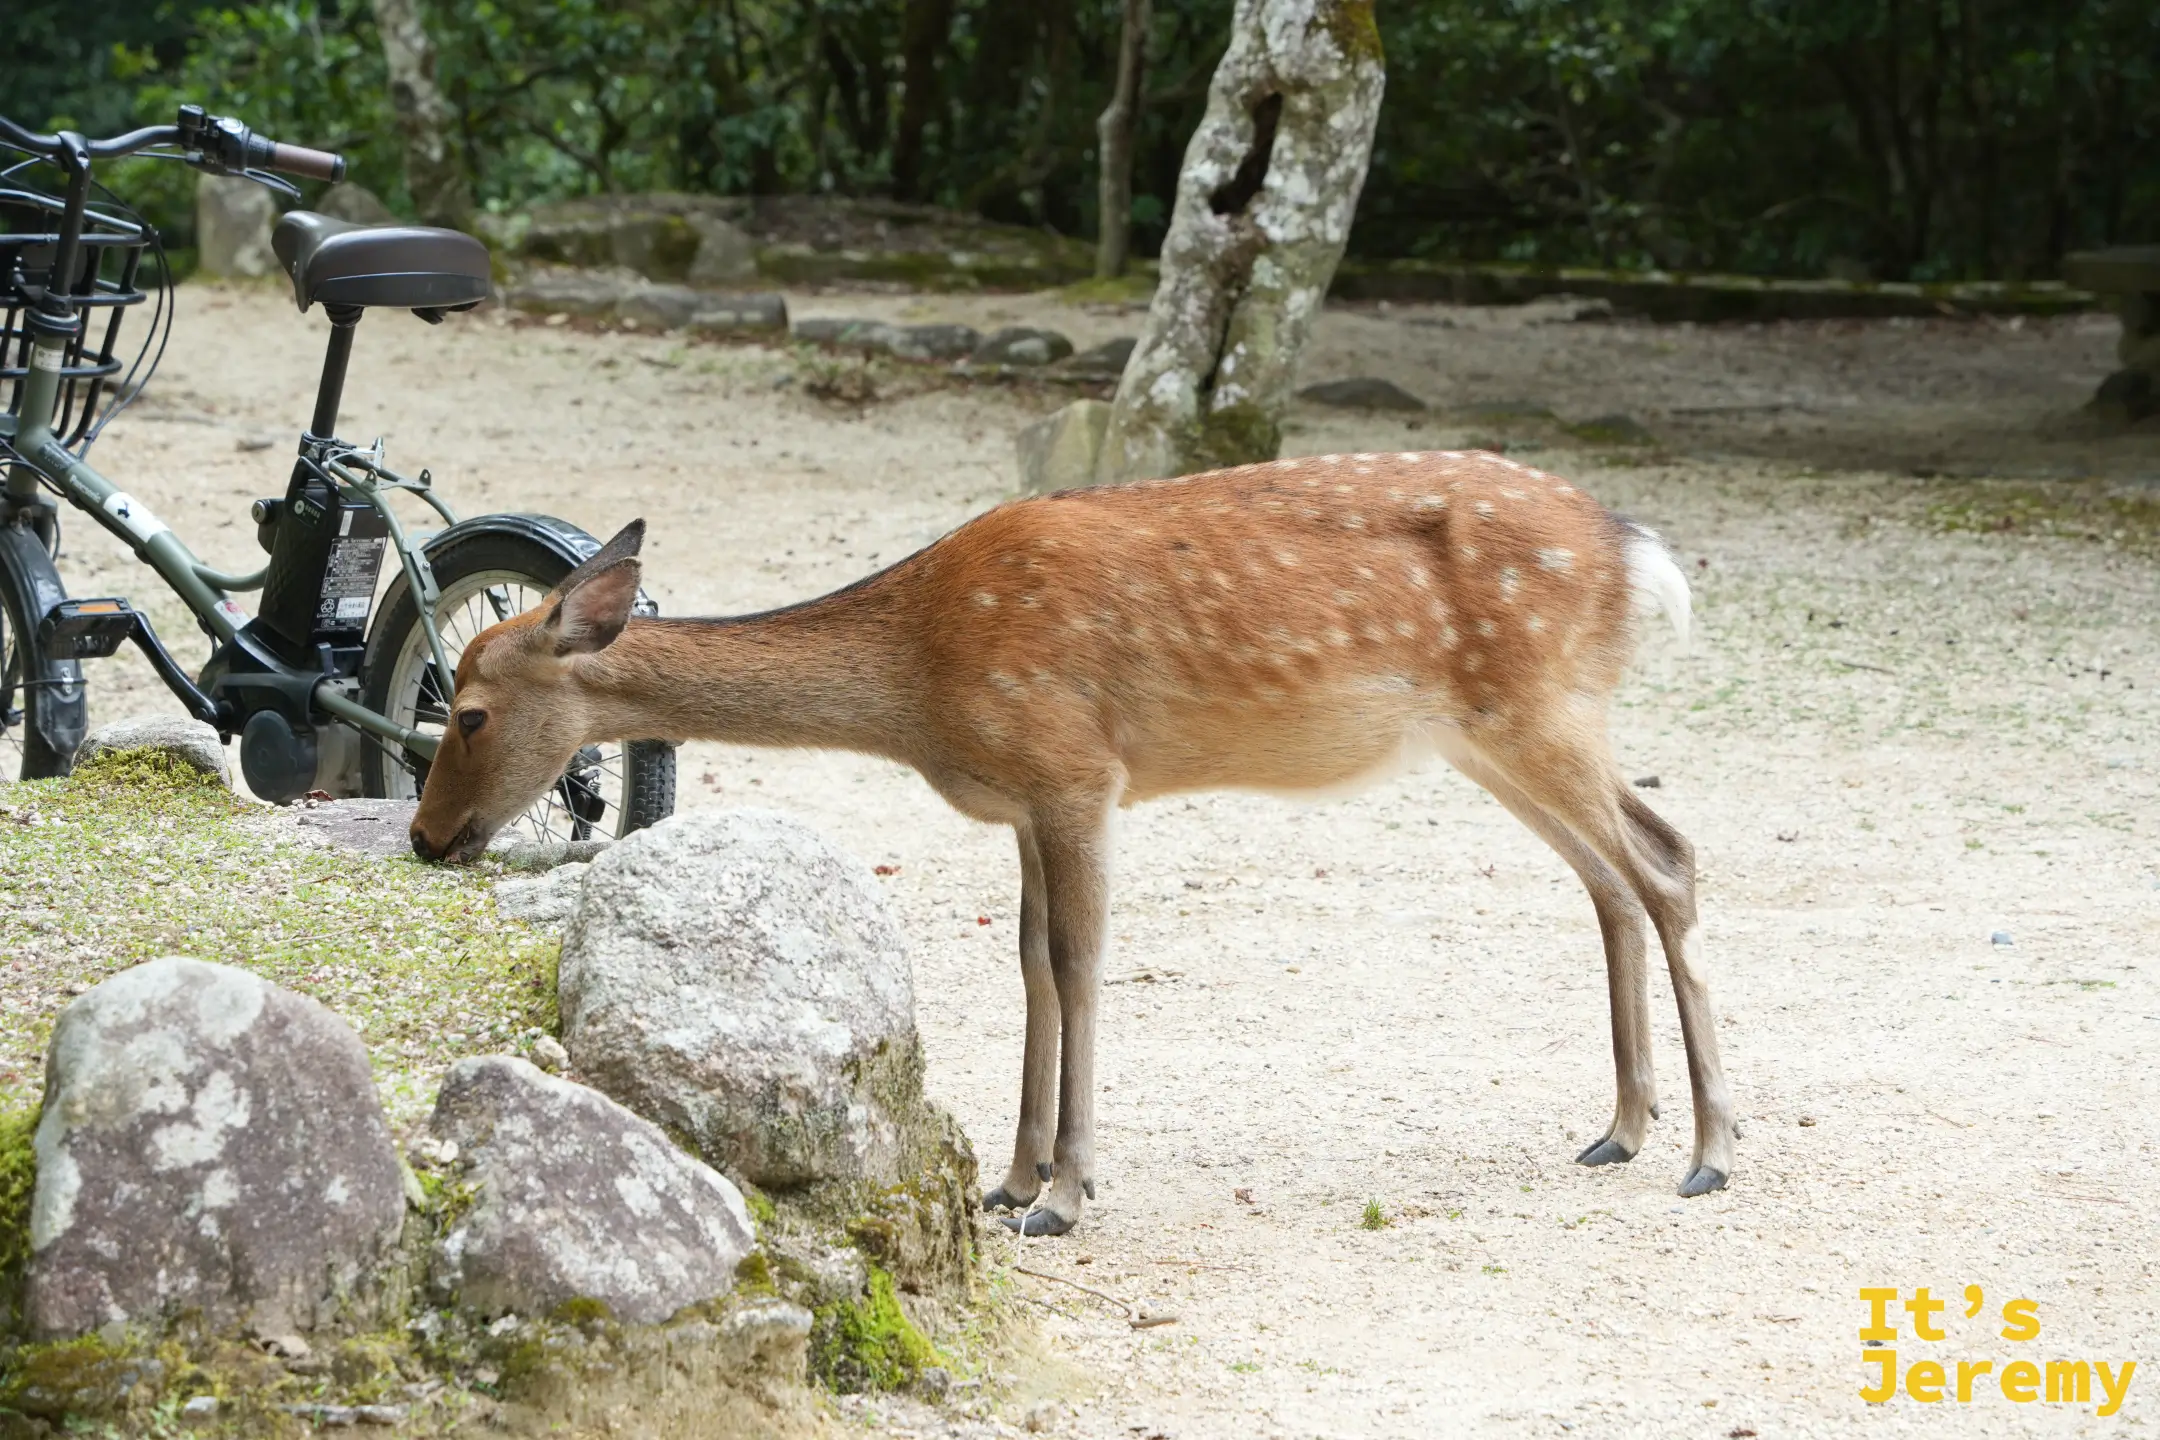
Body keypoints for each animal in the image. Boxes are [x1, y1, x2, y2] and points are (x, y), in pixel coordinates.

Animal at [409, 449, 1736, 1235]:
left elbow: (1083, 965)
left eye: (465, 710)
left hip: (1538, 707)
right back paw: (1619, 1130)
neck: (921, 685)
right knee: (1615, 876)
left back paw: (1710, 1150)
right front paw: (1012, 1179)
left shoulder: (1076, 771)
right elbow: (1033, 965)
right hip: (1494, 735)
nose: (423, 836)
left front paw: (1068, 1192)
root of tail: (1639, 558)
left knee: (1668, 861)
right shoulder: (1023, 801)